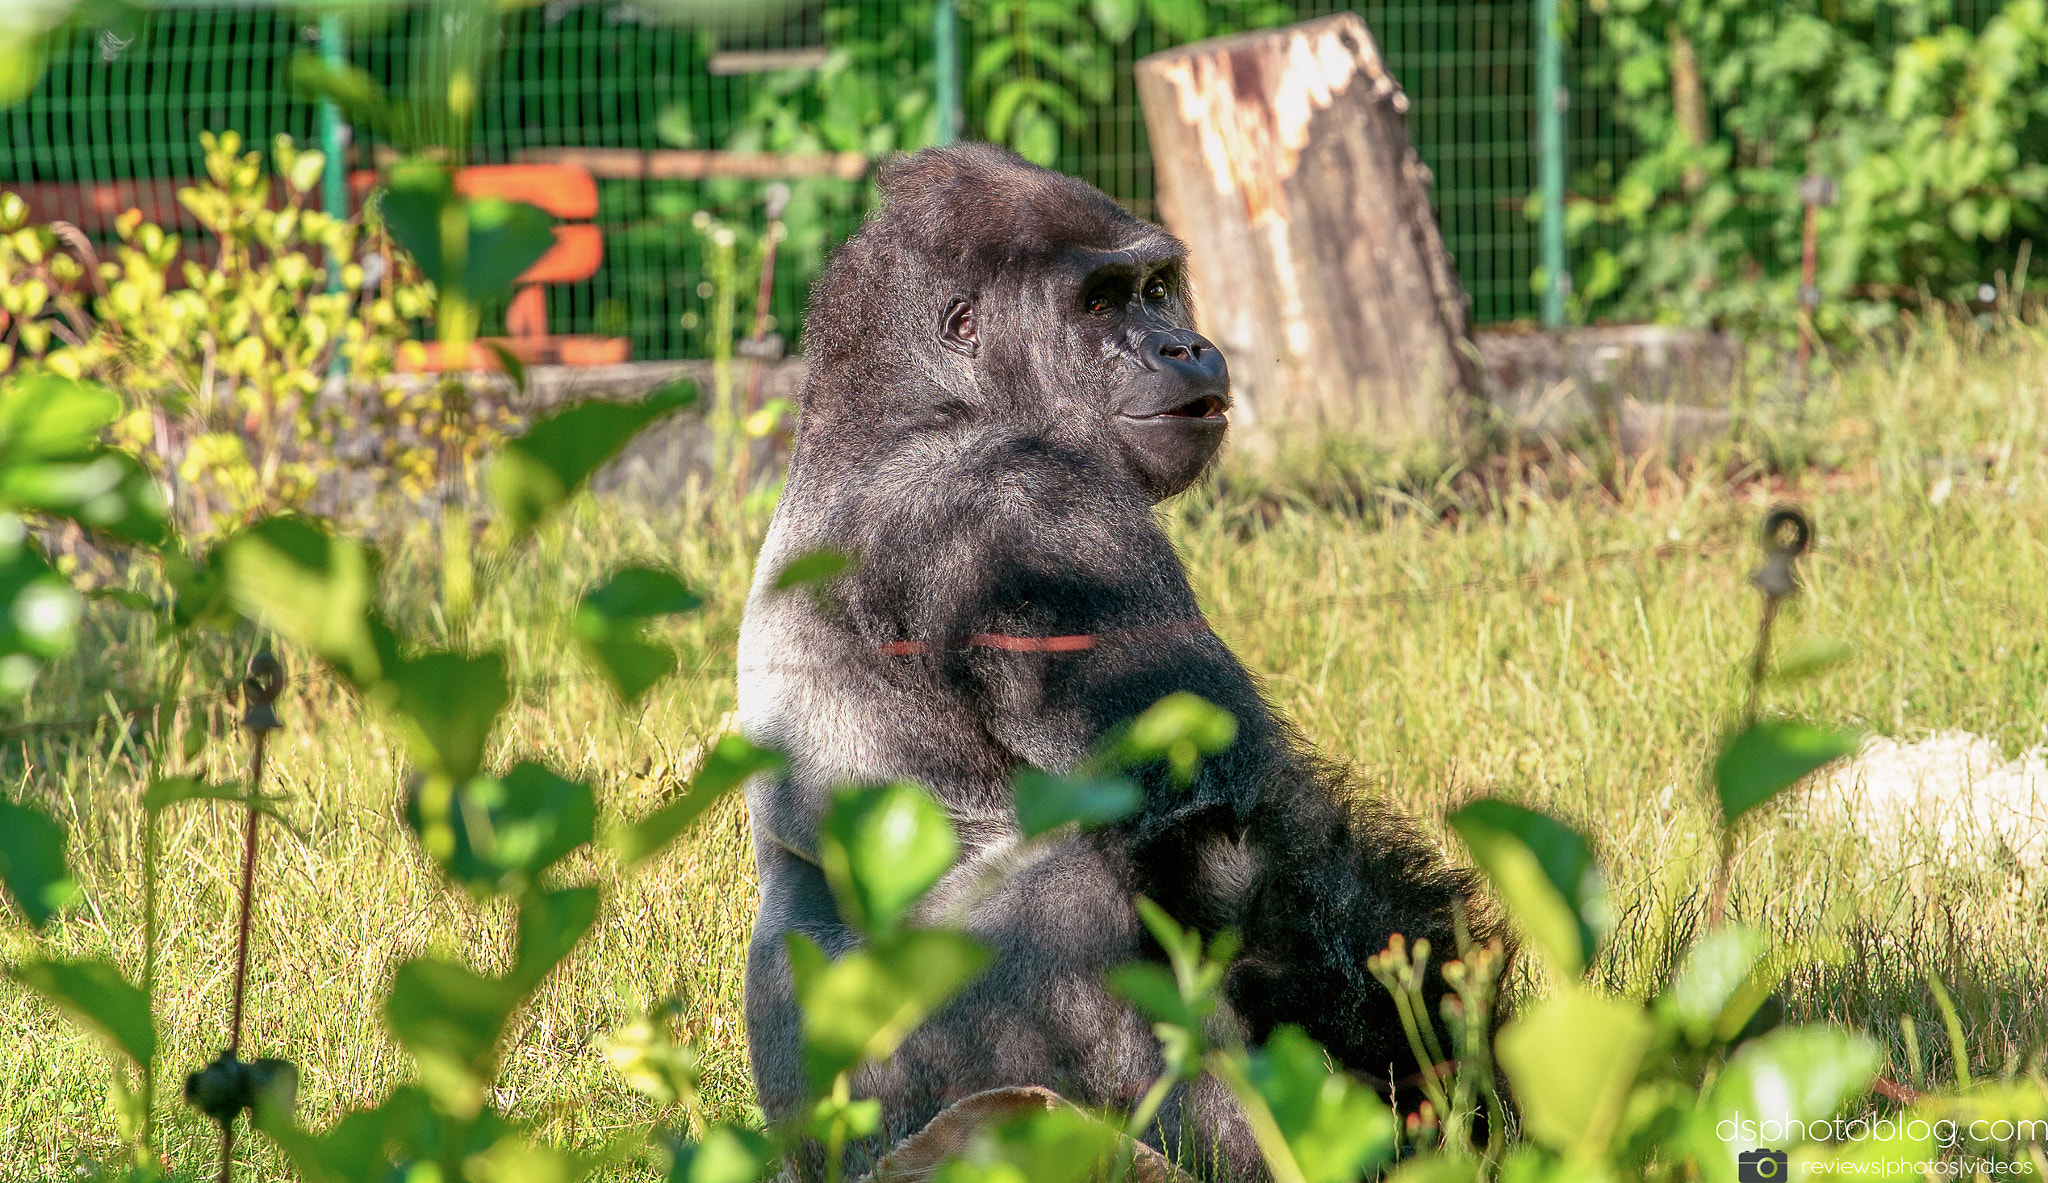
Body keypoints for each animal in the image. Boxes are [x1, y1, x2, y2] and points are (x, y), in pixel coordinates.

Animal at [737, 143, 1490, 1170]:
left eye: (1156, 288)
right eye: (1098, 304)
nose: (1183, 346)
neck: (909, 403)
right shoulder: (1036, 512)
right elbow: (1226, 833)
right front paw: (1453, 1086)